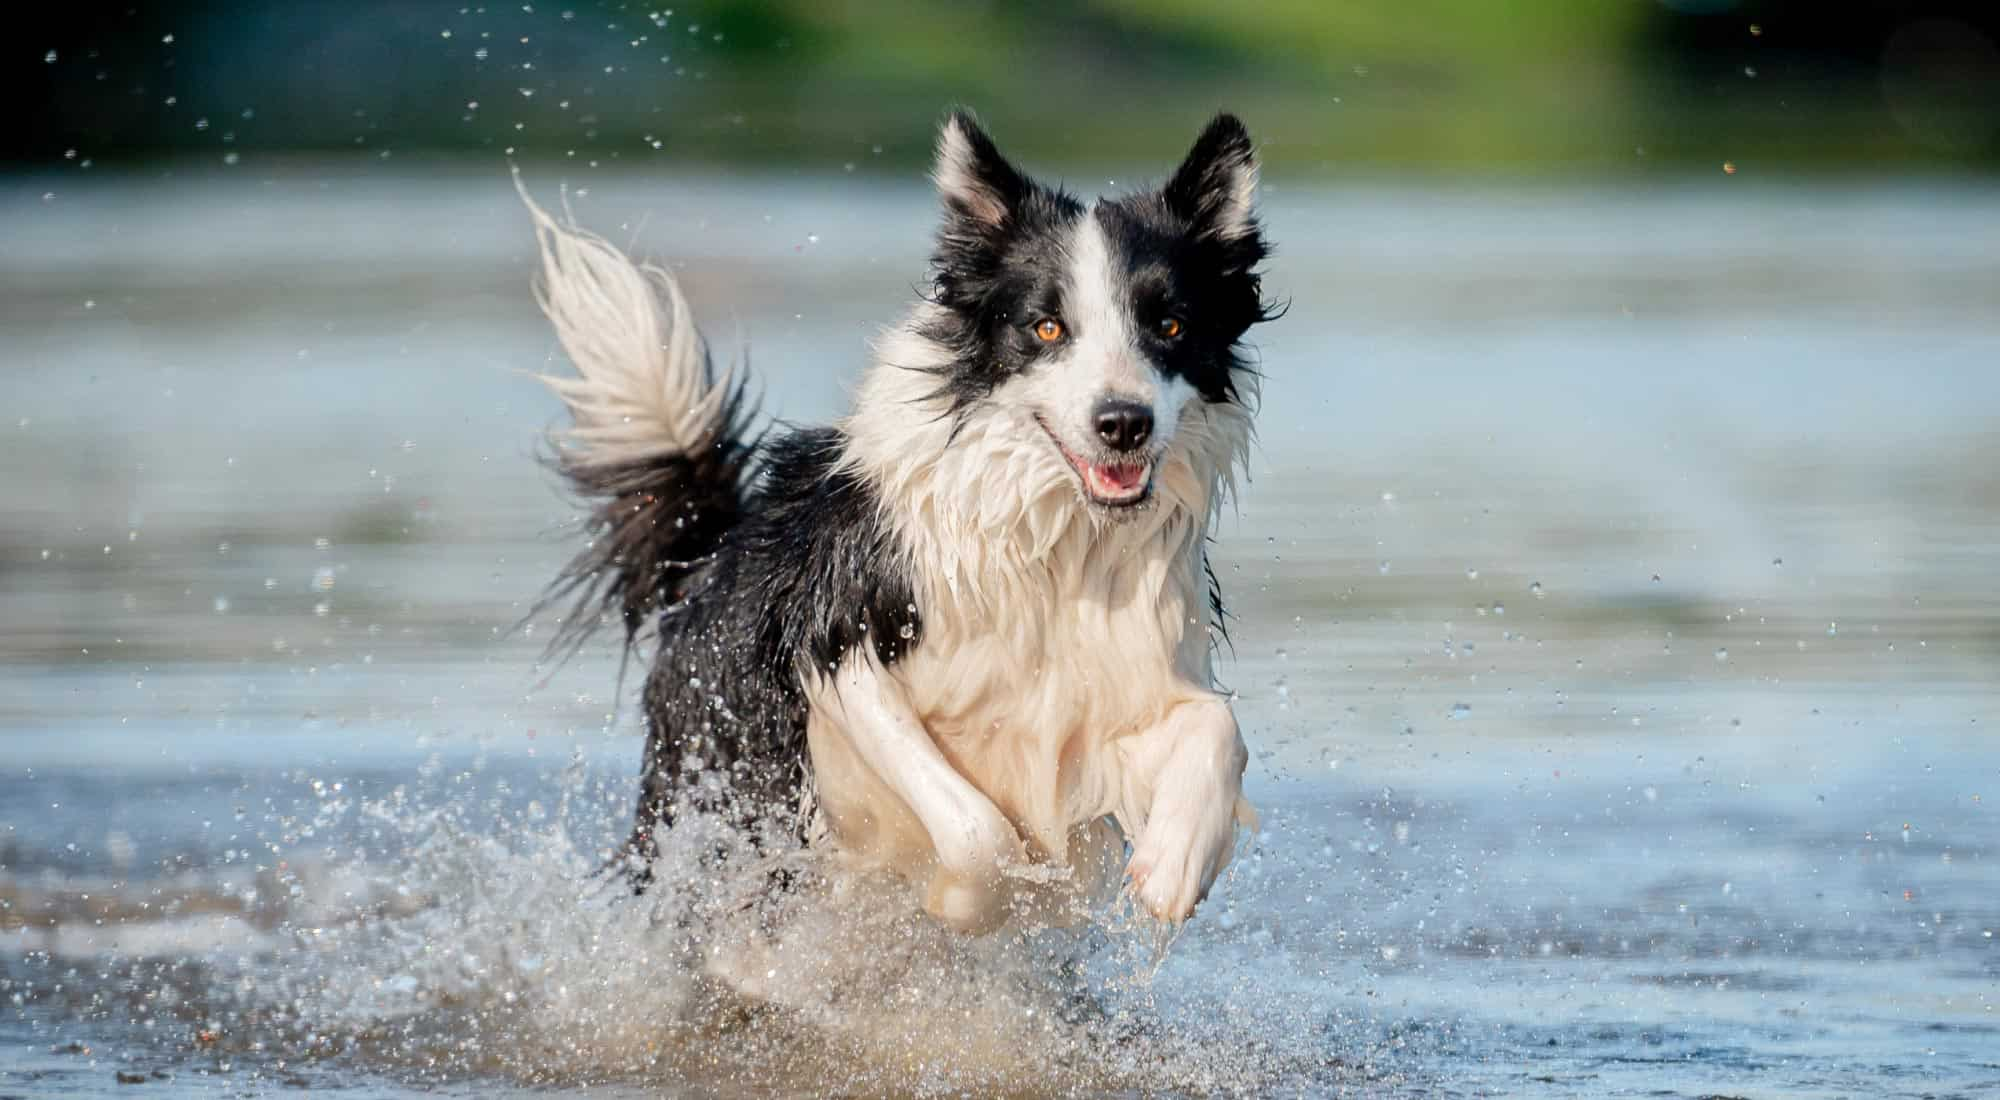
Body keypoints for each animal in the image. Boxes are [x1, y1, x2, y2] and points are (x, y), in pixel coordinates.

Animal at [528, 112, 1280, 936]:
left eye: (1170, 324)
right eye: (1048, 328)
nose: (1123, 423)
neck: (1053, 545)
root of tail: (715, 551)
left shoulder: (1122, 680)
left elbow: (1219, 727)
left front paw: (1173, 867)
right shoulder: (838, 643)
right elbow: (977, 828)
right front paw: (964, 902)